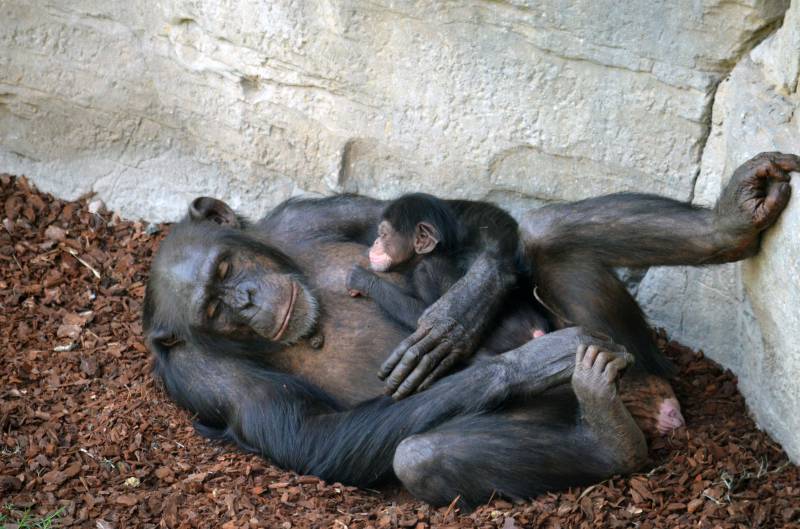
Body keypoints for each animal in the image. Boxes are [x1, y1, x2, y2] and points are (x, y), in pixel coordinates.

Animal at [346, 192, 552, 352]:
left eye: (383, 234)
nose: (376, 242)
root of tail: (537, 331)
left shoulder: (427, 271)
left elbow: (421, 316)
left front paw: (362, 279)